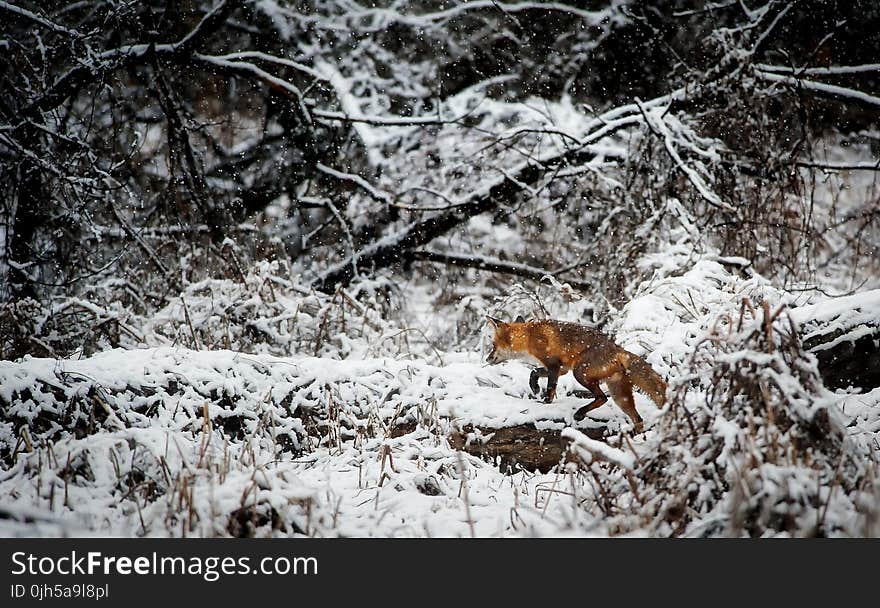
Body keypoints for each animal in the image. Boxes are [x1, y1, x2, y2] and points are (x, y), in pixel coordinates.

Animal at [484, 318, 664, 432]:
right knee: (638, 419)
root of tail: (618, 349)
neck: (529, 336)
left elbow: (550, 387)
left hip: (580, 373)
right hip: (619, 395)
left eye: (493, 345)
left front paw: (545, 403)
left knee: (602, 398)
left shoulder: (554, 365)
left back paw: (580, 413)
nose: (487, 358)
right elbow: (534, 372)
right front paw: (534, 388)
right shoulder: (561, 369)